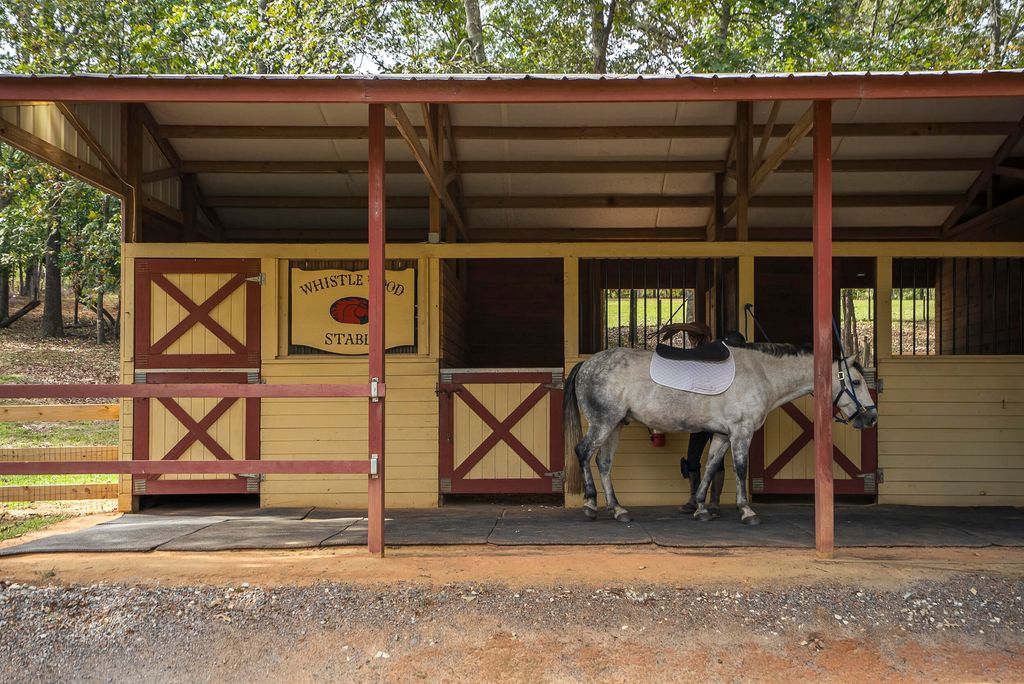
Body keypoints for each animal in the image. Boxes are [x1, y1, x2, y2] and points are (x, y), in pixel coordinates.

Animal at [563, 342, 877, 525]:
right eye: (857, 382)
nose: (871, 417)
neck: (762, 373)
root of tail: (586, 364)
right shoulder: (741, 432)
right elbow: (740, 468)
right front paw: (746, 511)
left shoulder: (723, 435)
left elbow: (711, 467)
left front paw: (701, 508)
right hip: (604, 423)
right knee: (583, 452)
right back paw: (591, 504)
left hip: (615, 425)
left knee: (604, 463)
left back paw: (618, 509)